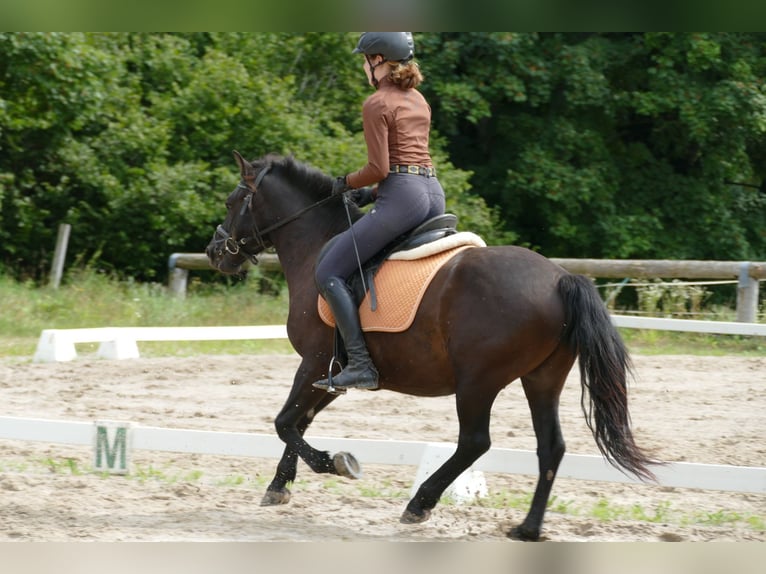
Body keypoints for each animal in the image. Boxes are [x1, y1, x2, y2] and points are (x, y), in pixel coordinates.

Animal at [207, 151, 656, 544]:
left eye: (232, 202)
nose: (215, 252)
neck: (317, 242)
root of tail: (560, 278)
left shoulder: (315, 362)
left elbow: (285, 422)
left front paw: (335, 463)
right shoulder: (332, 374)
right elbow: (299, 422)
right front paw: (279, 485)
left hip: (478, 382)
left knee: (475, 442)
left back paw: (420, 504)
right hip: (542, 379)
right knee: (550, 447)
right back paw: (528, 528)